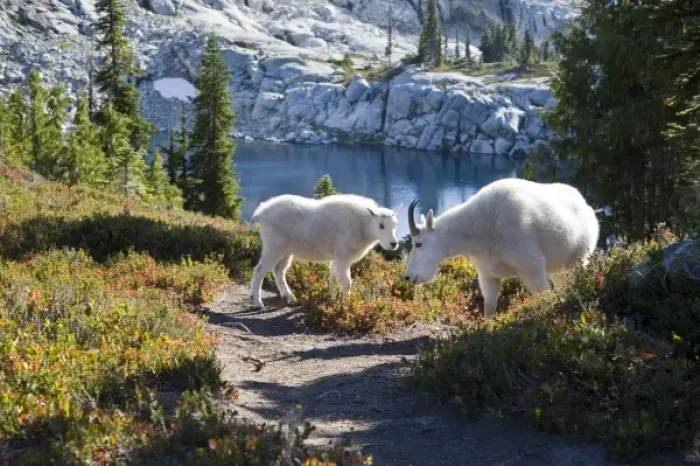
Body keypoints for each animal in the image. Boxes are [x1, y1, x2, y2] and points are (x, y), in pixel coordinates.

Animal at [249, 194, 400, 310]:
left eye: (395, 225)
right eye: (381, 225)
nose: (393, 244)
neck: (362, 224)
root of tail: (261, 212)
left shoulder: (337, 257)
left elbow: (332, 277)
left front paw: (332, 298)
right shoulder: (343, 256)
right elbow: (347, 282)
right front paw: (347, 304)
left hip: (286, 251)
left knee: (278, 270)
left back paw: (290, 298)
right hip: (273, 247)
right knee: (259, 270)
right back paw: (257, 303)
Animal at [404, 178, 600, 318]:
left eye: (418, 243)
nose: (408, 277)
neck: (481, 226)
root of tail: (588, 208)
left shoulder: (532, 268)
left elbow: (543, 296)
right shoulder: (487, 275)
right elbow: (489, 307)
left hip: (580, 260)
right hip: (559, 269)